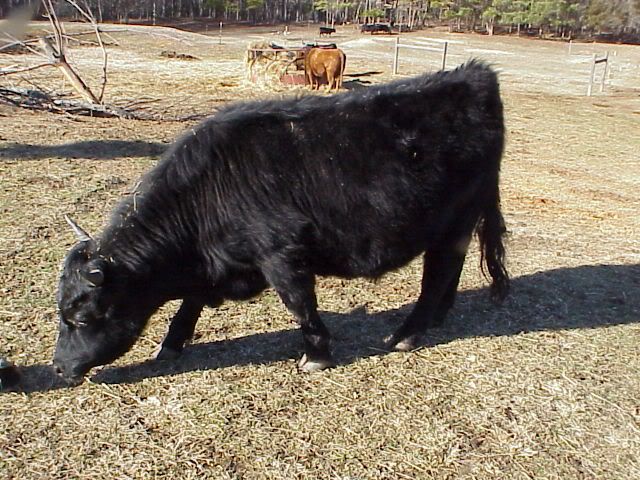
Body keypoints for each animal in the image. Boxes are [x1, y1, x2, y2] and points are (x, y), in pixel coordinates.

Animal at [53, 61, 509, 386]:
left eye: (80, 319)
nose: (57, 368)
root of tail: (475, 75)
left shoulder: (280, 254)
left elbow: (299, 302)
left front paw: (317, 355)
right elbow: (191, 301)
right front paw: (170, 345)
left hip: (455, 221)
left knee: (439, 271)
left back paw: (407, 335)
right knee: (450, 269)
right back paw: (437, 318)